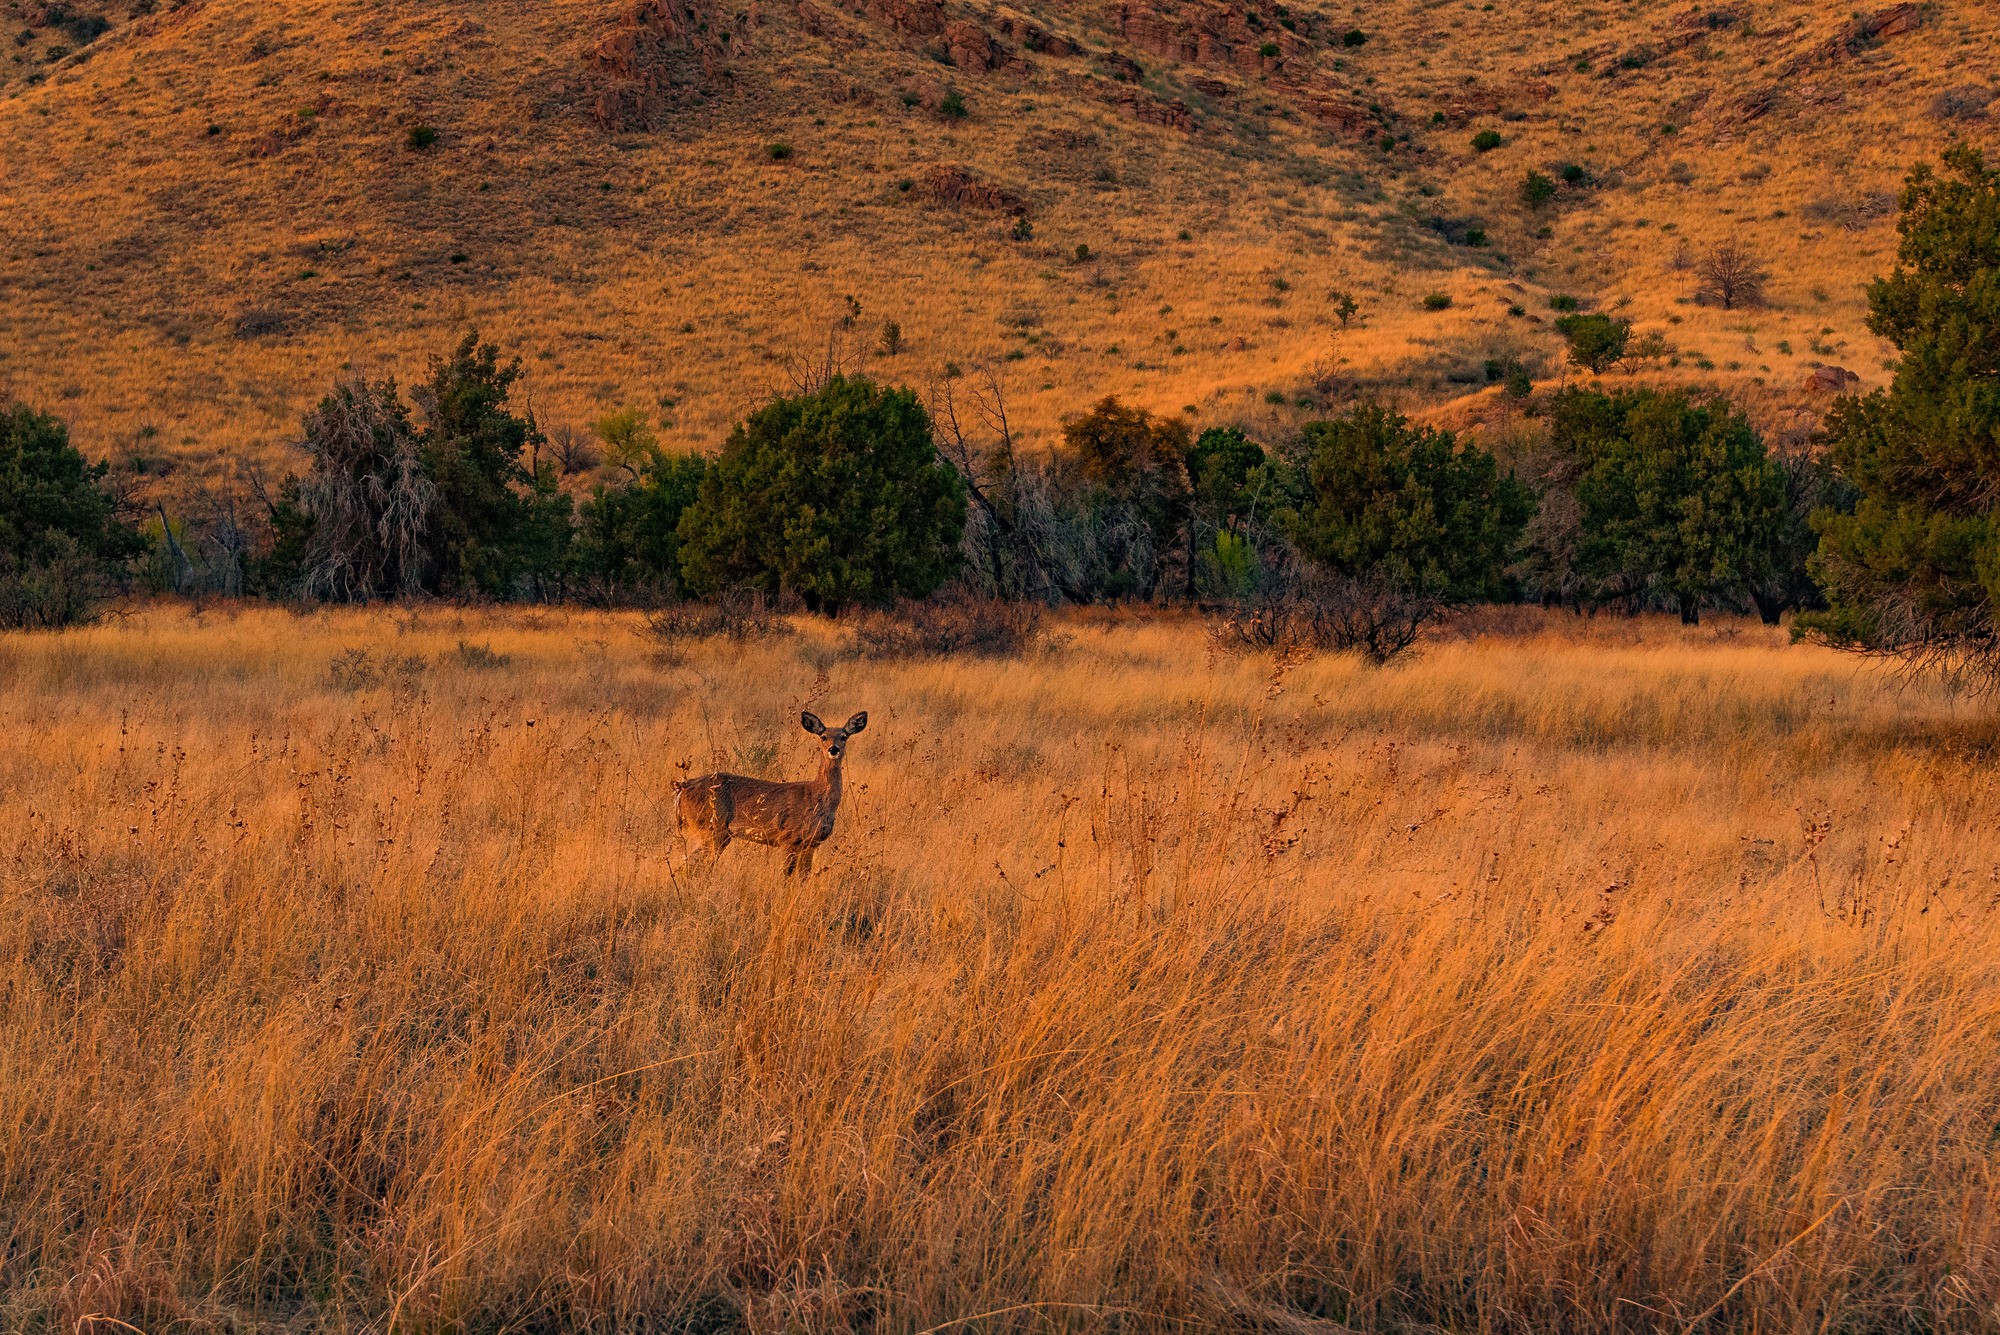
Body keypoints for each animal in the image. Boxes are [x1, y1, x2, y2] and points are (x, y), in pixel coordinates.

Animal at [674, 711, 867, 877]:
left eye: (844, 737)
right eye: (823, 737)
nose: (833, 749)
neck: (817, 796)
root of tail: (682, 788)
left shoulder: (811, 844)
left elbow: (803, 877)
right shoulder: (789, 838)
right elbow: (786, 876)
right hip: (711, 828)